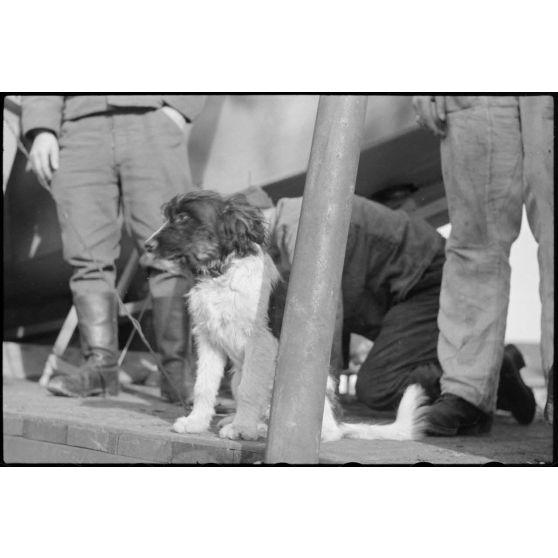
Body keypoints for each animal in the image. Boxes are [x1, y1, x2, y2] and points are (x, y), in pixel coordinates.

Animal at [144, 190, 428, 444]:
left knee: (322, 430)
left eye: (183, 218)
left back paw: (258, 428)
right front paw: (196, 423)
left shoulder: (260, 341)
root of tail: (340, 421)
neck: (220, 273)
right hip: (237, 375)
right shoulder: (208, 339)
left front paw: (242, 431)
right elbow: (204, 386)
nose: (147, 245)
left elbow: (250, 390)